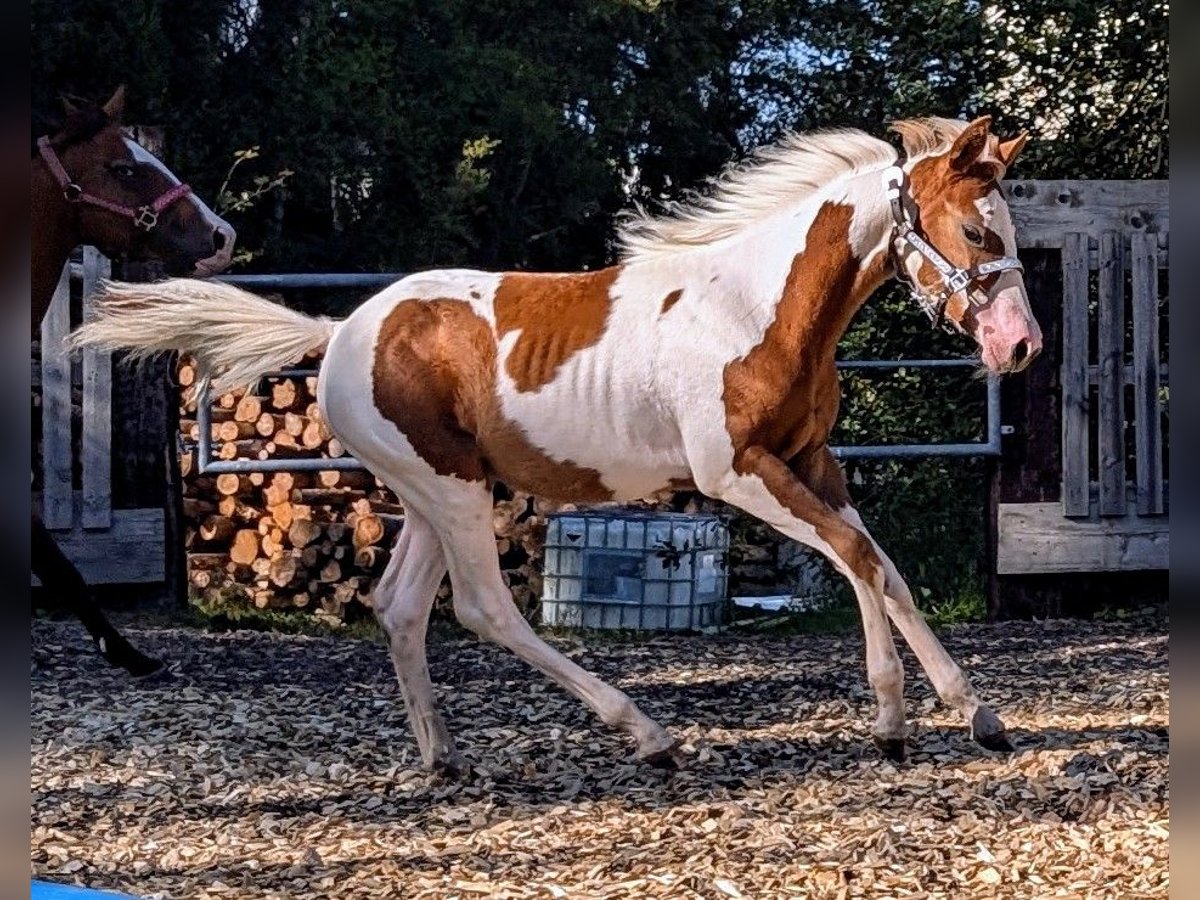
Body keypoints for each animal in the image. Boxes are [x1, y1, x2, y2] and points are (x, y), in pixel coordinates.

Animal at [72, 116, 1041, 772]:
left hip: (435, 493)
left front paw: (974, 712)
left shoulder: (812, 462)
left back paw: (442, 755)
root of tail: (342, 330)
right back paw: (647, 733)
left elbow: (882, 564)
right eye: (977, 229)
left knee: (400, 604)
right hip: (455, 492)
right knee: (482, 609)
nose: (1020, 346)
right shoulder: (738, 473)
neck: (756, 305)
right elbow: (856, 557)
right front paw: (892, 722)